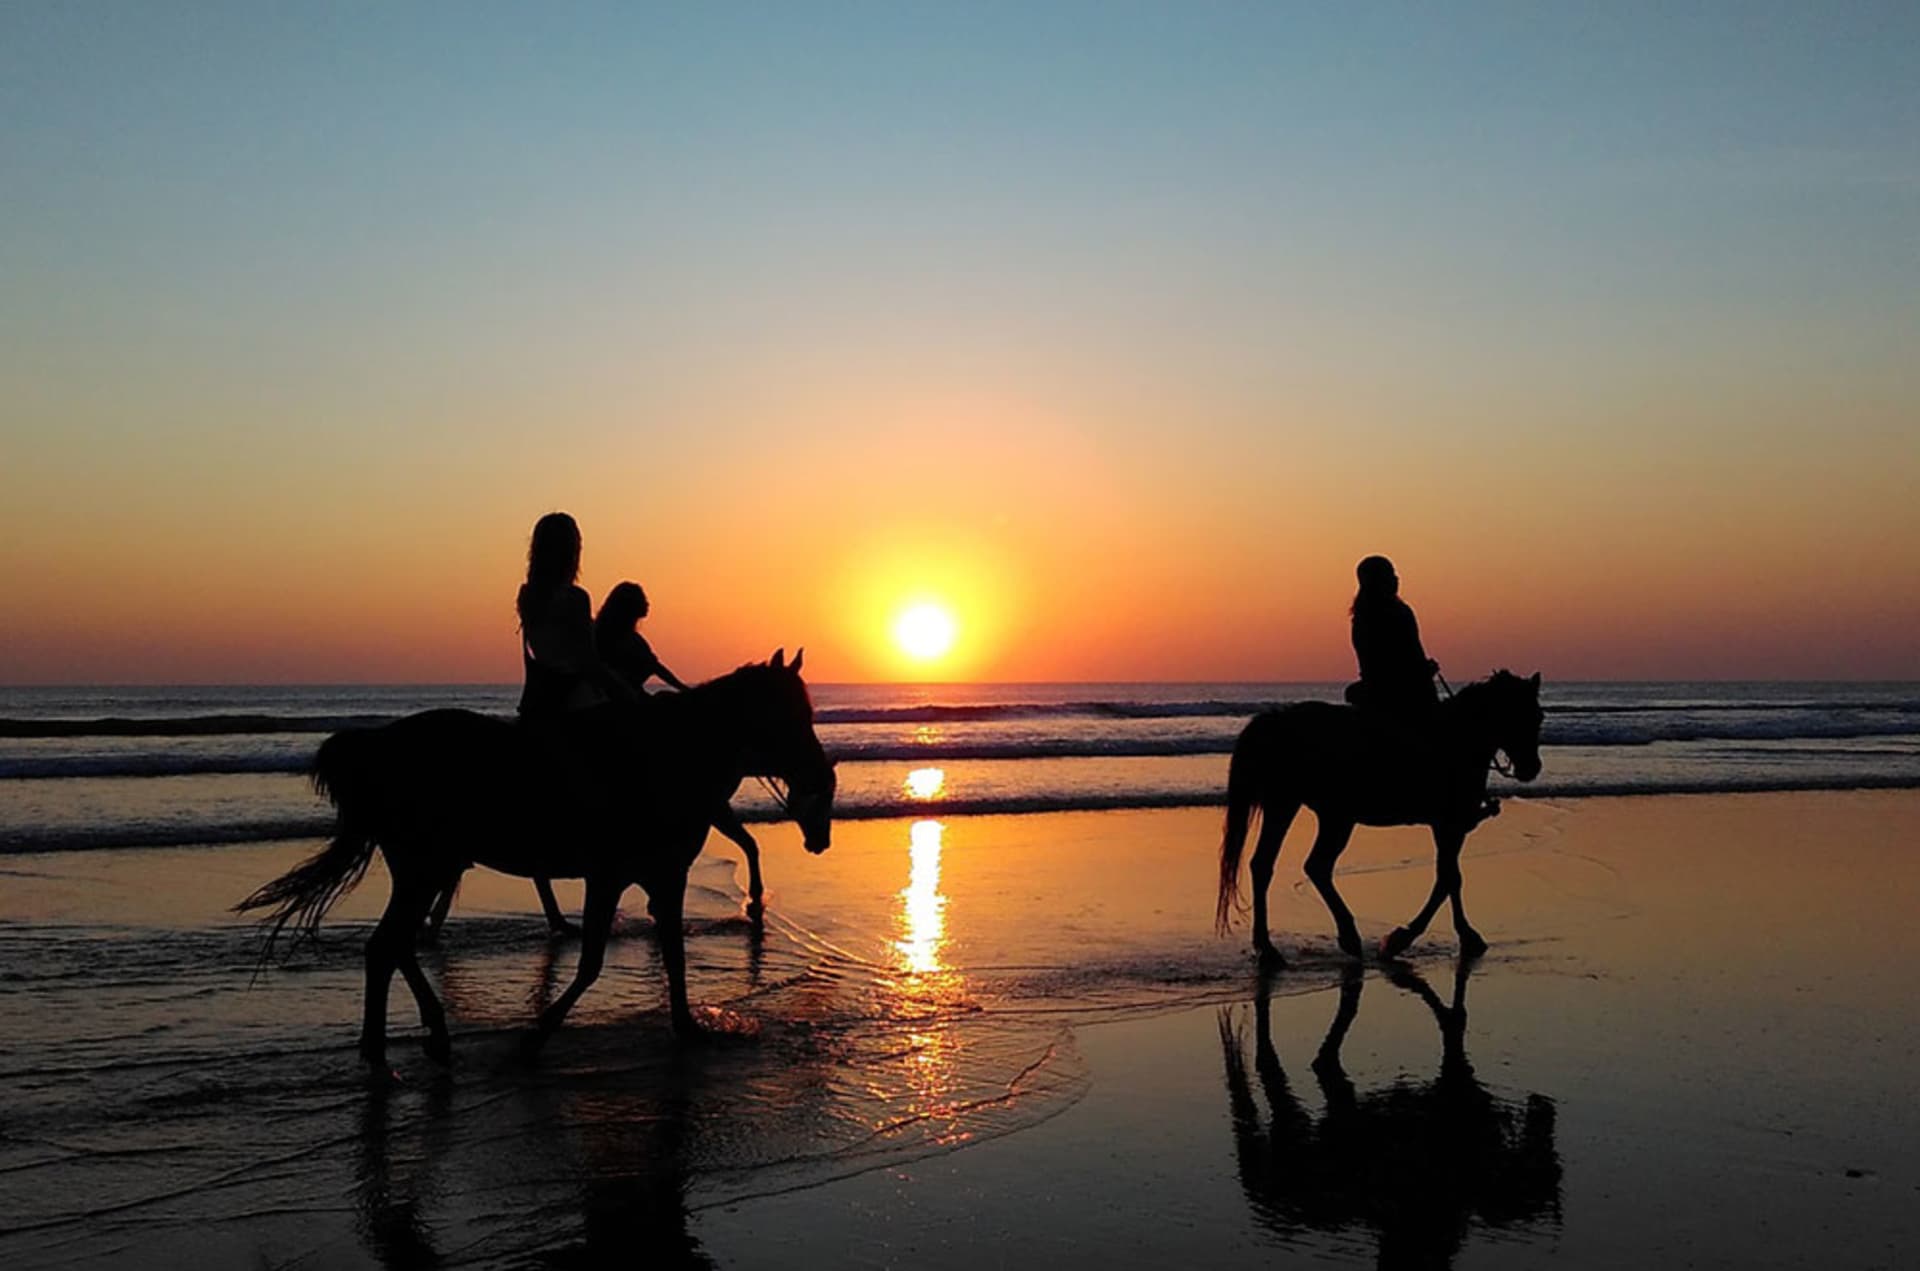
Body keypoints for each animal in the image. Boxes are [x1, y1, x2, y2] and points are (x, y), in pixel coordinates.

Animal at [238, 652, 833, 1067]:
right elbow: (594, 961)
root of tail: (378, 746)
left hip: (424, 868)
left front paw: (687, 1028)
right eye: (790, 714)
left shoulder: (661, 877)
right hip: (426, 867)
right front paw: (535, 1037)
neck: (666, 756)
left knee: (394, 945)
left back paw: (422, 1036)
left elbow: (673, 954)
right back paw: (389, 1052)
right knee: (388, 946)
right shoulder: (613, 876)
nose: (821, 776)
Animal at [1213, 671, 1543, 959]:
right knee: (1300, 865)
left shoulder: (1448, 827)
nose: (1532, 768)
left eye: (1538, 717)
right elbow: (1449, 878)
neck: (1457, 739)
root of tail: (1275, 720)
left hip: (1311, 811)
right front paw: (1407, 938)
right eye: (1519, 714)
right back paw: (1323, 939)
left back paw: (1279, 945)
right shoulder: (1449, 824)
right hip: (1311, 811)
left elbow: (1448, 878)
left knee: (1282, 865)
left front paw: (1457, 935)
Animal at [1221, 959, 1566, 1267]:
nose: (1546, 1110)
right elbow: (1452, 1023)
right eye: (1545, 1170)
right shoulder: (1449, 1081)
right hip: (1292, 1129)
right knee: (1268, 1068)